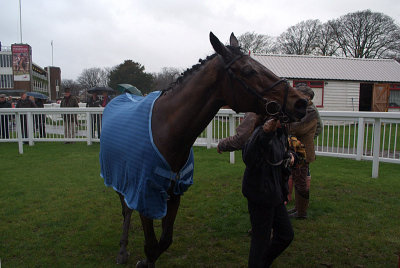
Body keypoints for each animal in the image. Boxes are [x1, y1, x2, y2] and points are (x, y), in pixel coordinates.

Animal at [99, 32, 306, 266]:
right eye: (248, 70)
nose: (301, 102)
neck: (165, 132)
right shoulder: (144, 193)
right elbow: (151, 246)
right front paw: (142, 260)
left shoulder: (175, 194)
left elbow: (164, 241)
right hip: (118, 178)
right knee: (125, 210)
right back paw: (122, 249)